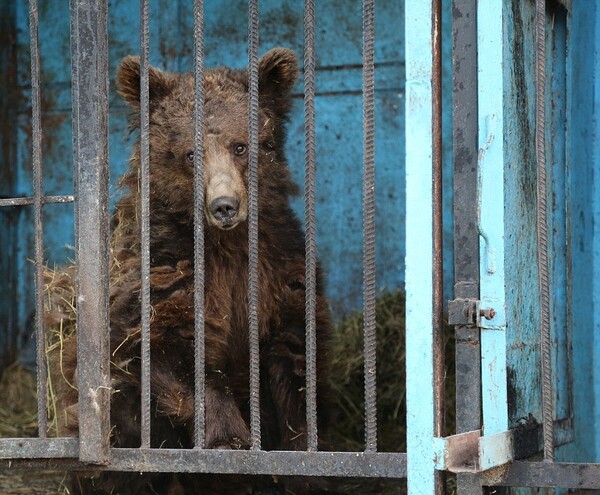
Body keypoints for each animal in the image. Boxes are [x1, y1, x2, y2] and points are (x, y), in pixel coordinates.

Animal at [49, 47, 332, 495]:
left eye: (240, 145)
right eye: (190, 153)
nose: (224, 206)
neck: (225, 244)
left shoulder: (280, 269)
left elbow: (294, 360)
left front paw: (304, 458)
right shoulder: (164, 268)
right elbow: (166, 347)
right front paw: (230, 438)